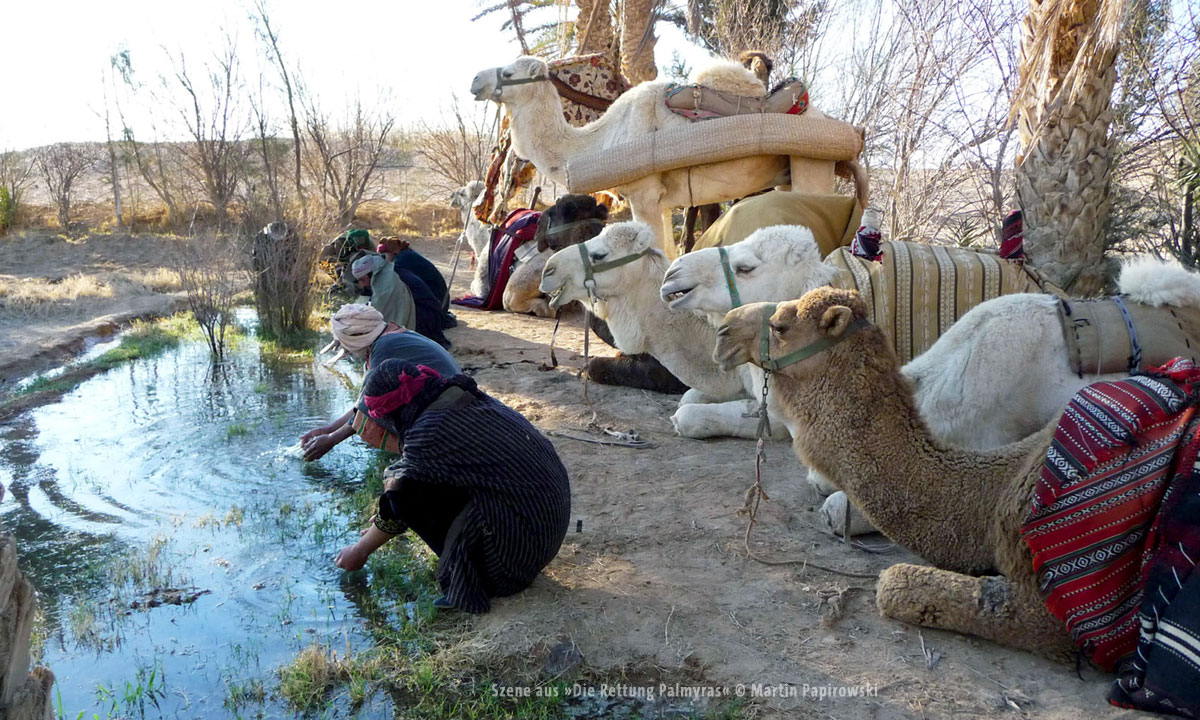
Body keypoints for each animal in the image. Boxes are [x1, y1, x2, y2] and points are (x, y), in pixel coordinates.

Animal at [470, 57, 806, 259]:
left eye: (508, 72)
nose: (475, 80)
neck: (602, 140)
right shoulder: (664, 202)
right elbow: (668, 251)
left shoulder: (643, 194)